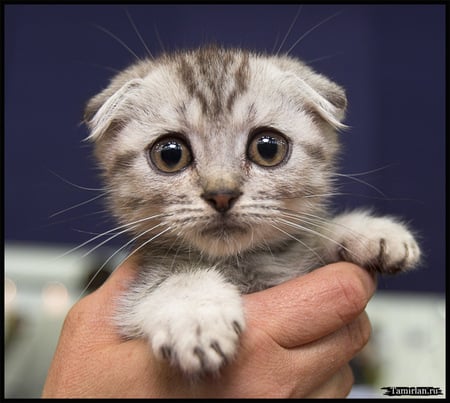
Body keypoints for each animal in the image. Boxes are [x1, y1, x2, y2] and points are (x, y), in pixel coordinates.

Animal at [82, 45, 420, 378]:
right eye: (170, 154)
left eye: (268, 148)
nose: (221, 194)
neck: (243, 263)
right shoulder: (137, 295)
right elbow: (166, 281)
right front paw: (196, 316)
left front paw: (369, 232)